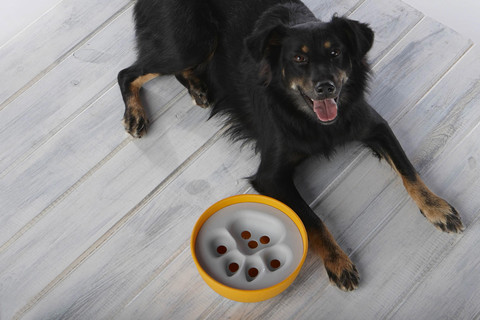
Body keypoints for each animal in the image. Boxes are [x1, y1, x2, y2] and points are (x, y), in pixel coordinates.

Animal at [118, 0, 464, 292]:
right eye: (298, 59)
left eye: (336, 53)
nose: (326, 87)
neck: (312, 119)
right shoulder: (271, 176)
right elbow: (312, 219)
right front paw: (337, 261)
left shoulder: (375, 126)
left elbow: (409, 170)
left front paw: (436, 207)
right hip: (191, 44)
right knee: (129, 72)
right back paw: (136, 114)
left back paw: (198, 87)